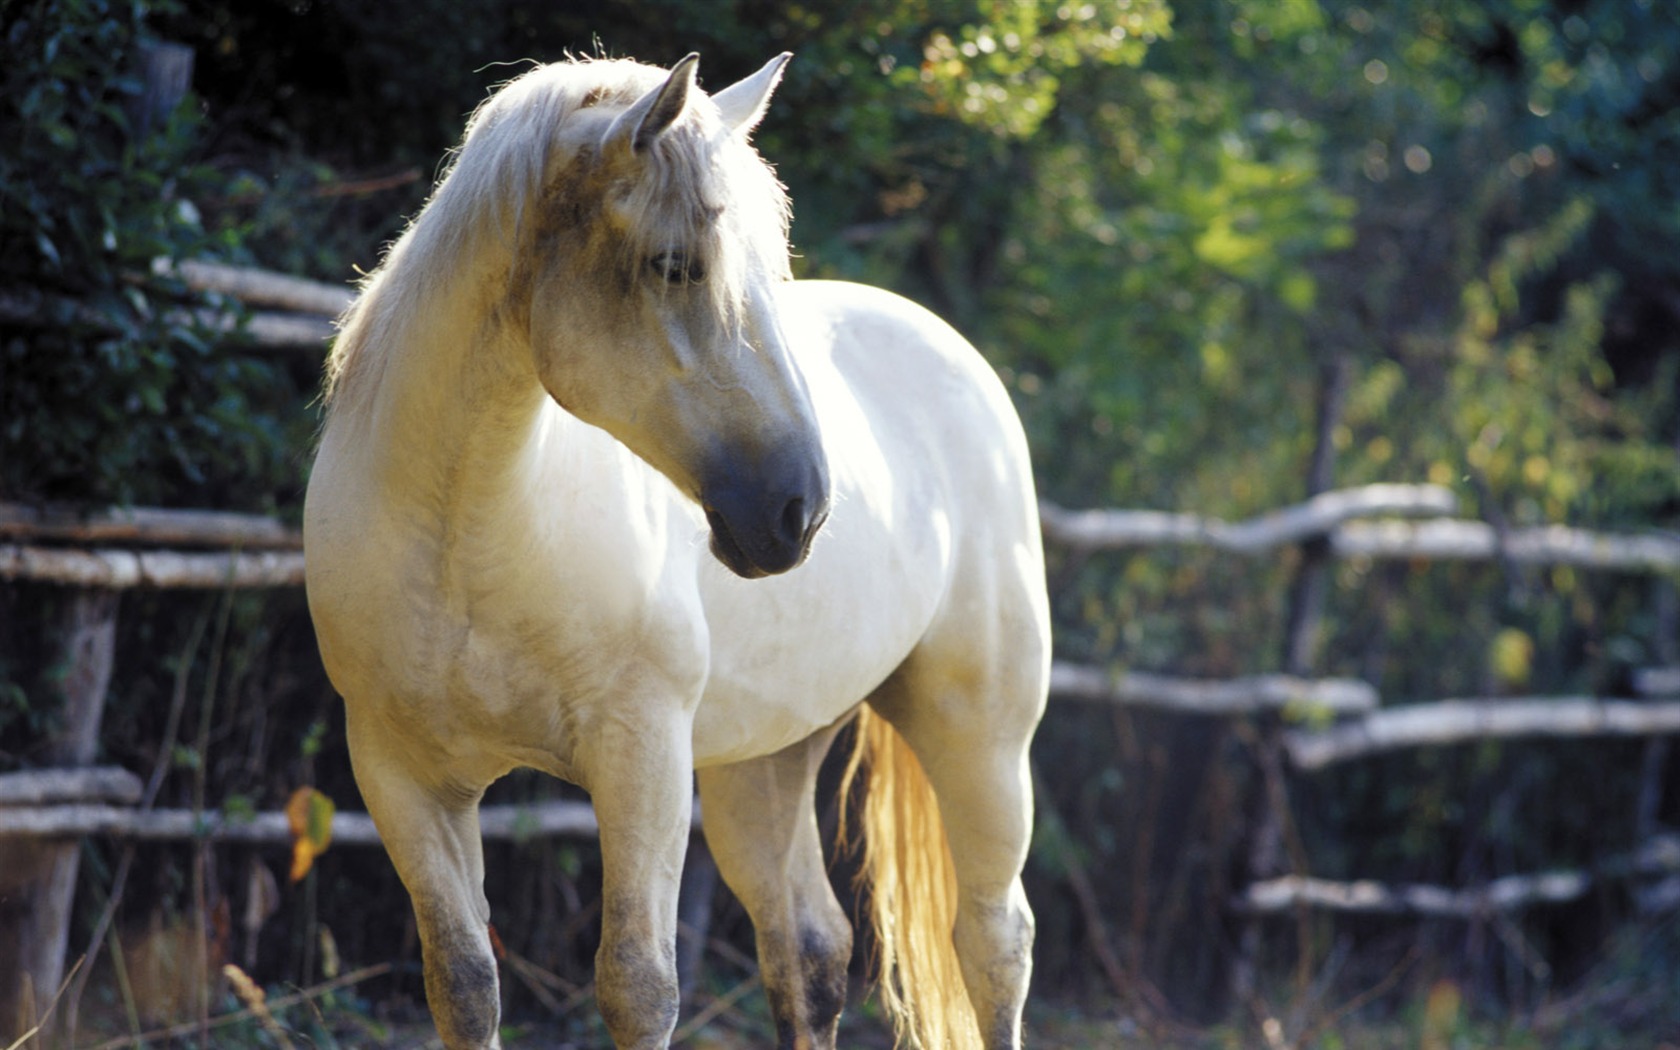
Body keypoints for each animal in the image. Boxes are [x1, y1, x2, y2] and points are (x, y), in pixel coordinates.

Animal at [299, 55, 1034, 1048]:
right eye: (675, 266)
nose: (800, 509)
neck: (465, 538)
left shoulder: (640, 761)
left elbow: (637, 986)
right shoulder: (402, 776)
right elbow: (463, 983)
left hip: (982, 740)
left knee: (993, 944)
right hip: (764, 763)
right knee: (809, 949)